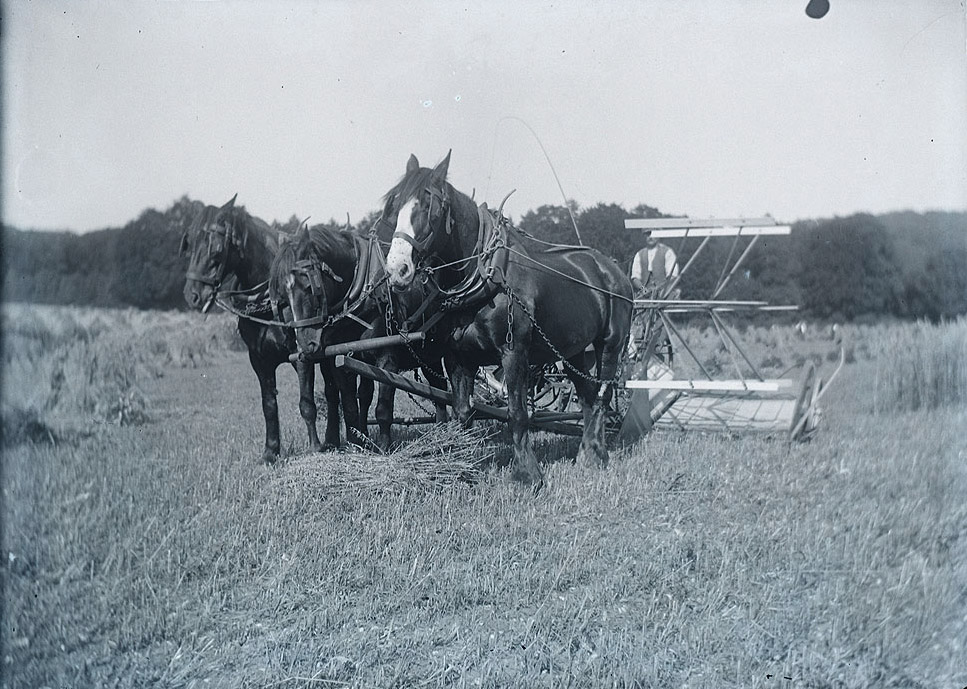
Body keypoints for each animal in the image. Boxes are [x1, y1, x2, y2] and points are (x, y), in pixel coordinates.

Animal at [181, 196, 328, 460]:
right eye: (190, 243)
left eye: (215, 247)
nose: (192, 295)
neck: (269, 300)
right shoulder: (258, 359)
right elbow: (268, 405)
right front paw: (271, 451)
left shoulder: (303, 353)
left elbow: (306, 403)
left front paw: (314, 447)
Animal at [264, 218, 446, 448]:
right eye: (282, 296)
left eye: (309, 286)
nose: (305, 345)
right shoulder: (341, 360)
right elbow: (351, 406)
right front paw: (356, 444)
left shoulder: (387, 359)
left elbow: (383, 408)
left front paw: (383, 447)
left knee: (442, 388)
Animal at [378, 153, 636, 486]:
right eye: (394, 206)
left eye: (429, 206)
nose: (397, 270)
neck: (484, 275)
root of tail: (612, 267)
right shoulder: (457, 357)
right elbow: (462, 412)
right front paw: (463, 468)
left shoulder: (514, 353)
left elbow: (517, 413)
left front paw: (527, 474)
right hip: (575, 351)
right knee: (588, 397)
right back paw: (585, 454)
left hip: (610, 345)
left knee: (603, 396)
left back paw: (598, 455)